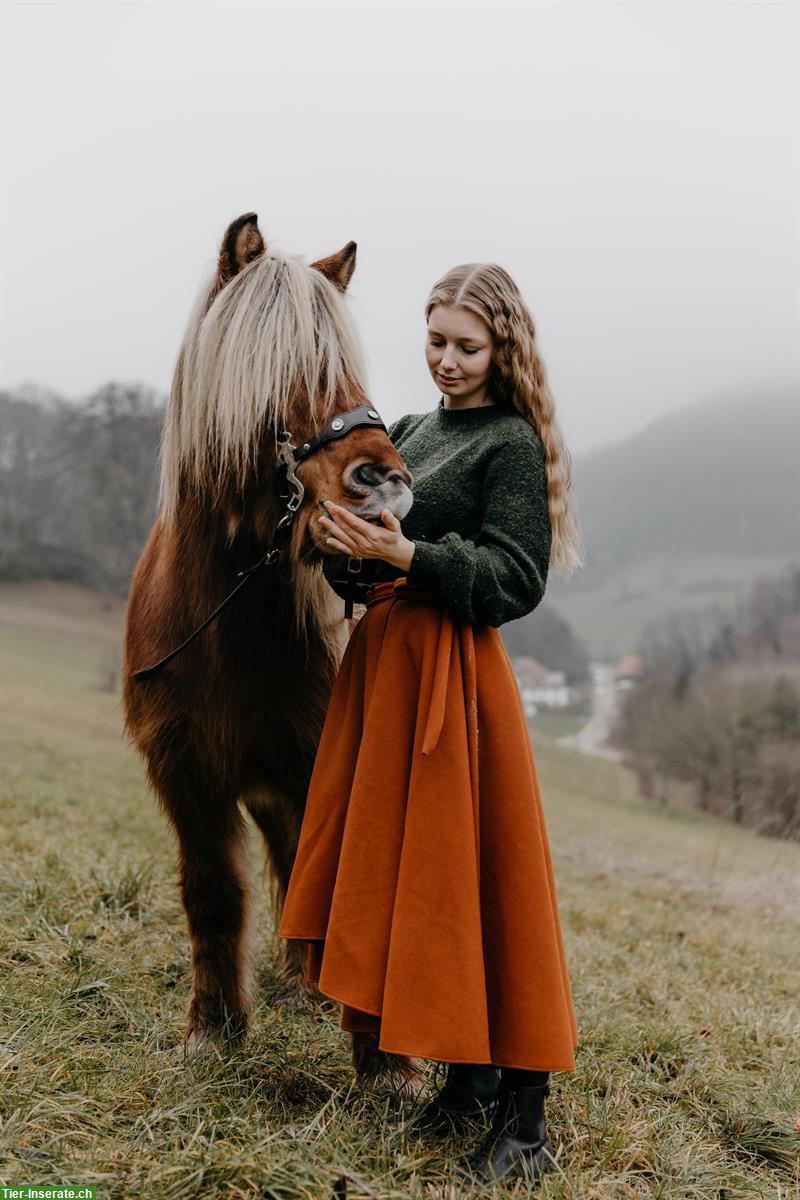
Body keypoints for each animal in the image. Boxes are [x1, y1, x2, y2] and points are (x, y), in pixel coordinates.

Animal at [123, 211, 419, 1094]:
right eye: (277, 373)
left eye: (350, 367)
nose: (384, 483)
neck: (231, 624)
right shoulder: (186, 770)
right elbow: (215, 892)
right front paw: (215, 1031)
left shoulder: (330, 762)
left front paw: (388, 1066)